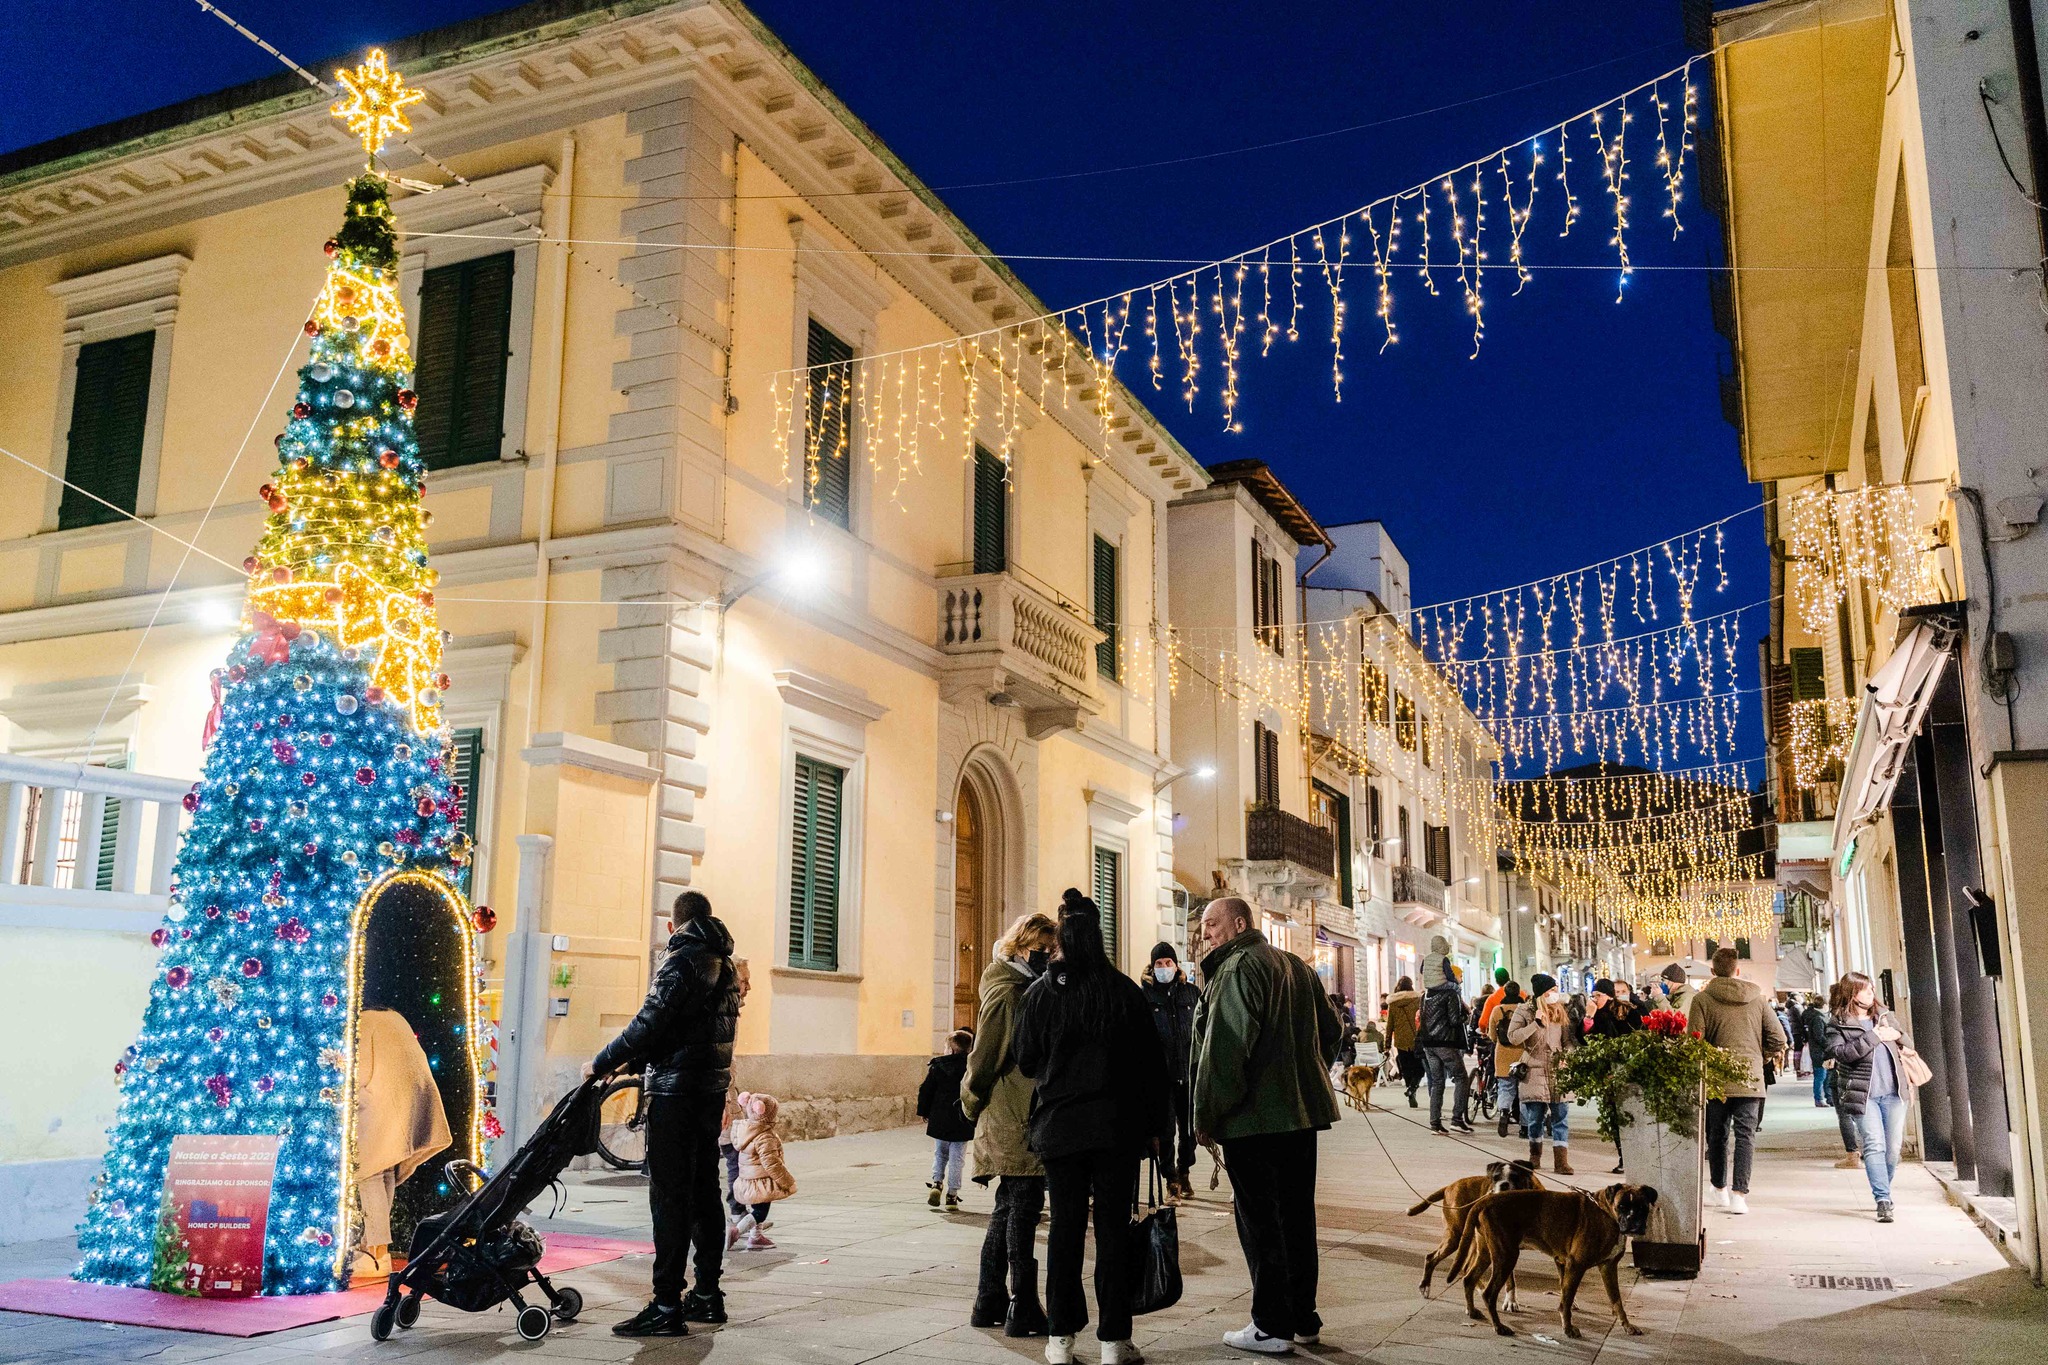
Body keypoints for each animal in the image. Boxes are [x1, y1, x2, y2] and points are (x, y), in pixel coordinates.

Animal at [1400, 1162, 1540, 1301]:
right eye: (1495, 1178)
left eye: (1515, 1177)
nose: (1503, 1184)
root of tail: (1449, 1187)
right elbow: (1509, 1279)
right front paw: (1510, 1301)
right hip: (1456, 1236)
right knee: (1432, 1258)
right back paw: (1425, 1285)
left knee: (1466, 1267)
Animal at [1449, 1178, 1654, 1342]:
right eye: (1621, 1207)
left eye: (1642, 1208)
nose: (1633, 1221)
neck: (1605, 1211)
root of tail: (1485, 1201)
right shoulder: (1575, 1266)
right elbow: (1566, 1301)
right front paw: (1568, 1329)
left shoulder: (1607, 1268)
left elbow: (1616, 1300)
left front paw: (1627, 1325)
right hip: (1506, 1256)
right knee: (1489, 1293)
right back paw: (1498, 1327)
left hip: (1486, 1253)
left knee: (1469, 1279)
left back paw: (1472, 1311)